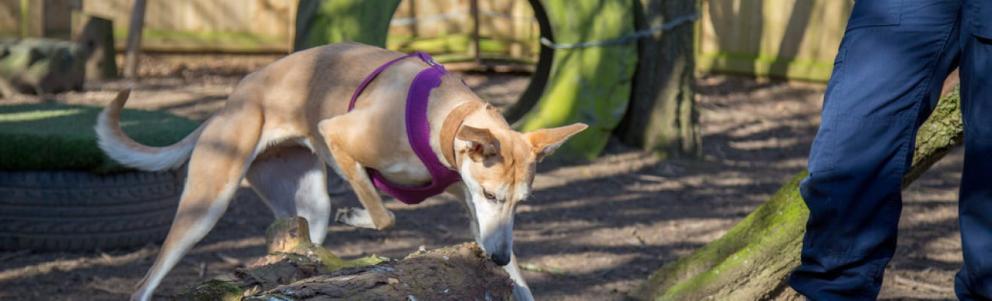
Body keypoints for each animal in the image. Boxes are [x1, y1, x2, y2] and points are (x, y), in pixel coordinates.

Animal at [95, 42, 580, 300]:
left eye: (522, 202)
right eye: (493, 195)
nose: (495, 257)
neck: (441, 117)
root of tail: (231, 100)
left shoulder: (479, 213)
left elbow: (517, 274)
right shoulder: (338, 136)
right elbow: (385, 215)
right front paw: (361, 216)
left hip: (310, 206)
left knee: (301, 242)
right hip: (206, 205)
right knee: (145, 283)